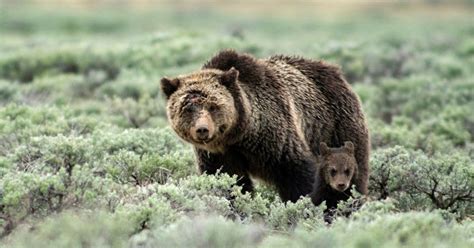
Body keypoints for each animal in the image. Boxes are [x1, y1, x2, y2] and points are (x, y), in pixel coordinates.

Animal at [161, 49, 368, 202]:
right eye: (188, 108)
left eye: (213, 106)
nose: (202, 129)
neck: (239, 135)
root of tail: (334, 70)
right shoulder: (219, 155)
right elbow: (228, 180)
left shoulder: (275, 137)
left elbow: (297, 173)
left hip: (336, 124)